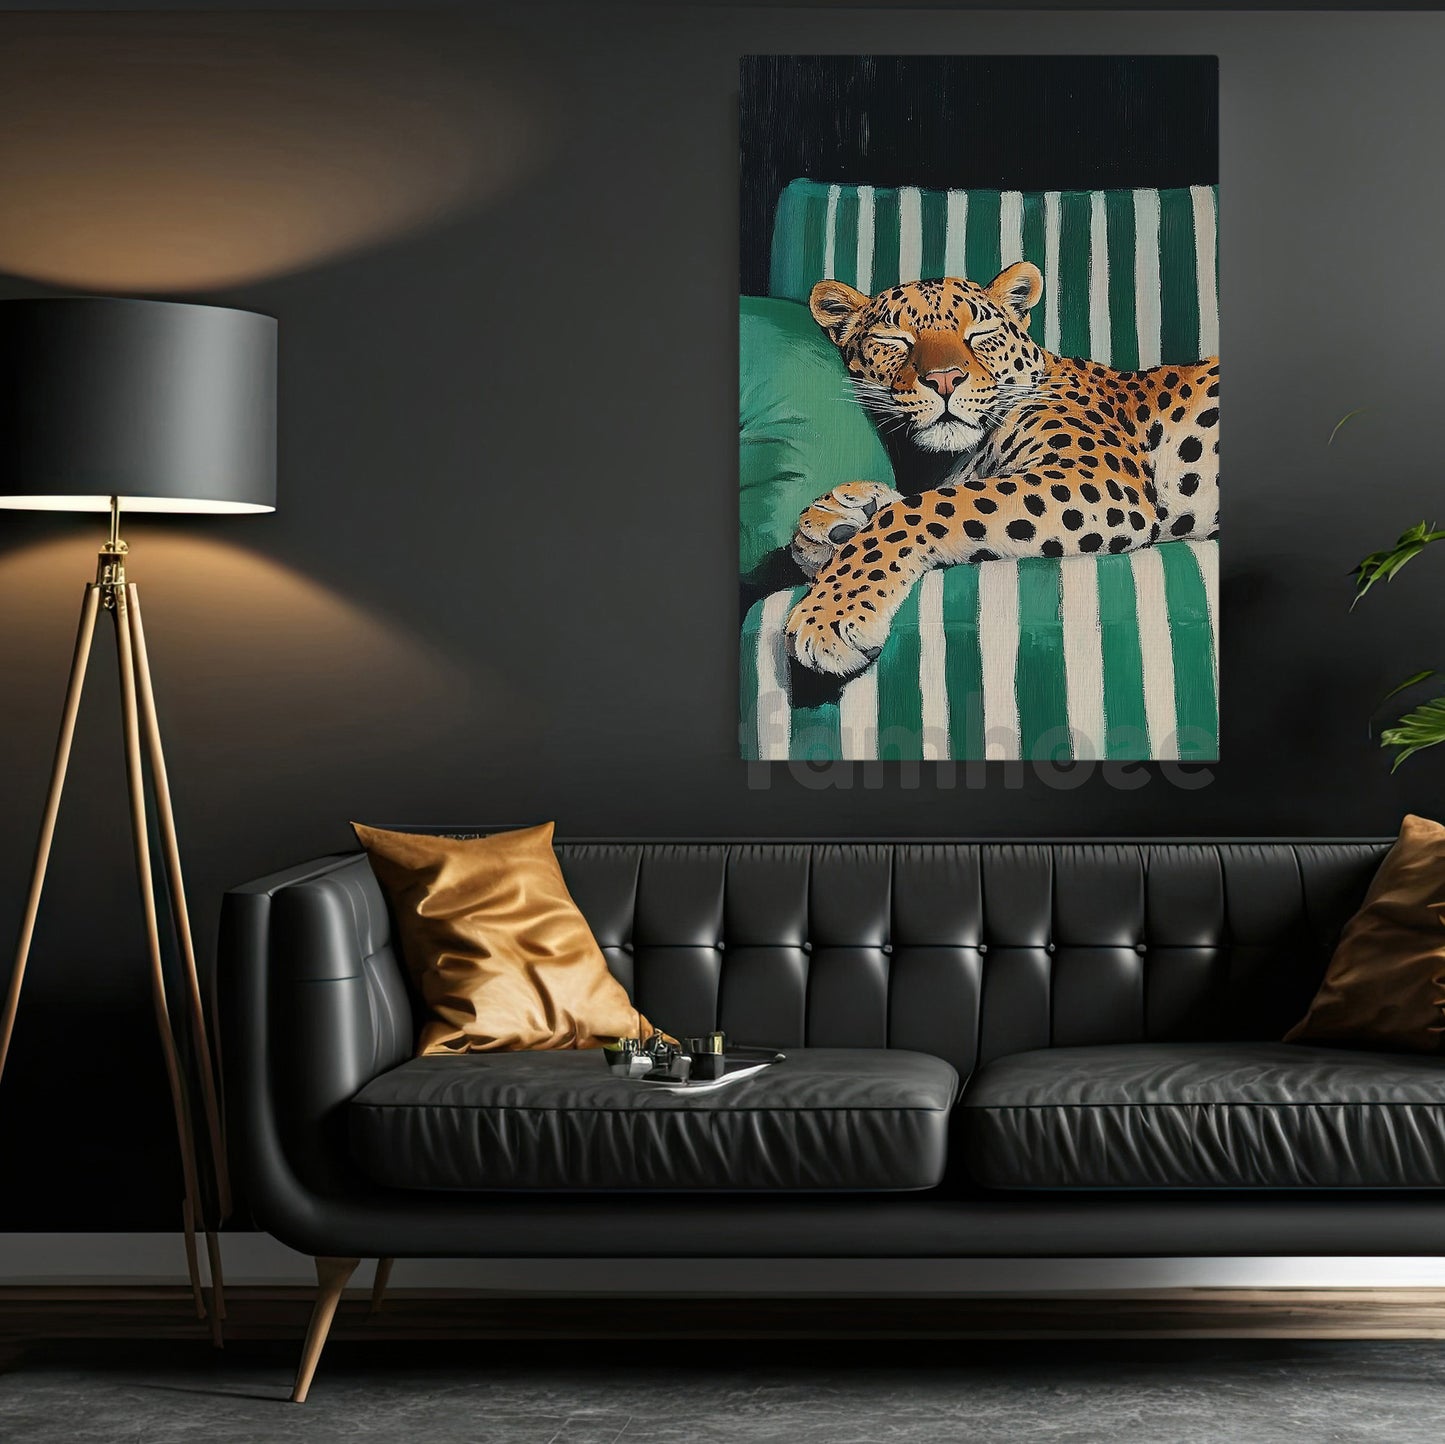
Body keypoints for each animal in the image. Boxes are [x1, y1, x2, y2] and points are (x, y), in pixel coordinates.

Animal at [785, 261, 1218, 676]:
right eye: (894, 339)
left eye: (980, 333)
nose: (945, 379)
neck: (942, 459)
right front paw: (831, 519)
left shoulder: (1099, 477)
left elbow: (924, 507)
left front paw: (828, 614)